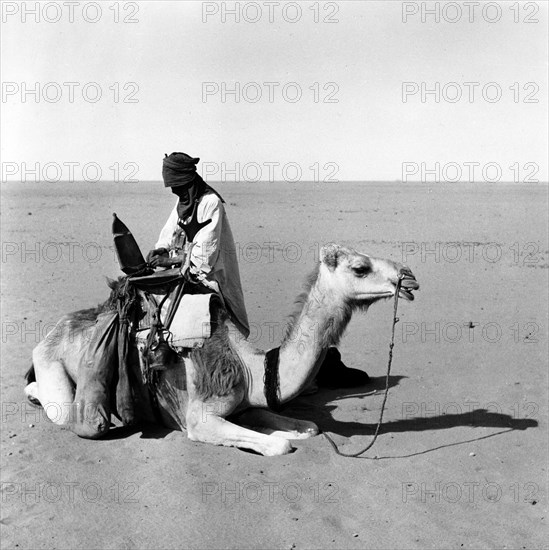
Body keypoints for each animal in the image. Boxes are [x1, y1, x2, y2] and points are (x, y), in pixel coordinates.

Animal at [24, 245, 420, 458]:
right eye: (360, 267)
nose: (409, 277)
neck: (249, 367)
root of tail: (53, 330)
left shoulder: (246, 403)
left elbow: (308, 427)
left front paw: (291, 431)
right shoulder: (200, 417)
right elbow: (278, 445)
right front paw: (277, 439)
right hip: (54, 367)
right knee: (56, 405)